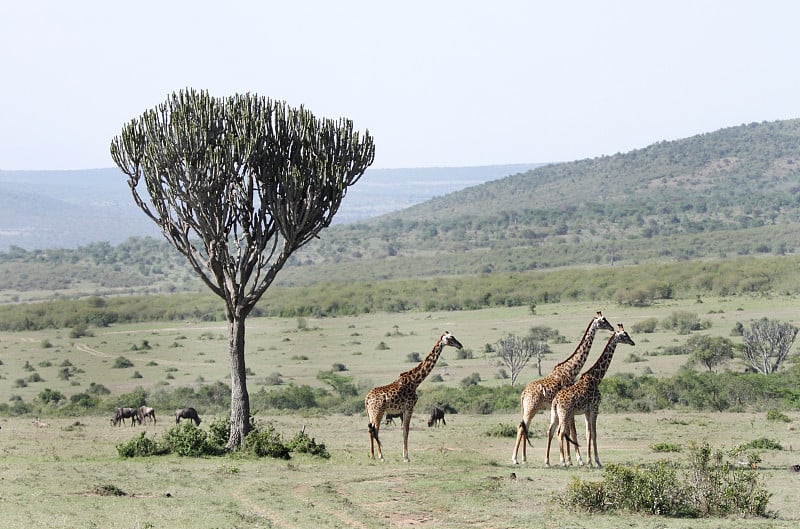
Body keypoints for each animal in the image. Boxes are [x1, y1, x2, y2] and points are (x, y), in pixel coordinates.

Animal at [364, 332, 462, 460]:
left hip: (370, 413)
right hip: (378, 411)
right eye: (451, 338)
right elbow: (406, 430)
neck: (415, 381)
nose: (460, 345)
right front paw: (406, 457)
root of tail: (367, 398)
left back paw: (372, 456)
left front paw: (405, 455)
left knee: (370, 429)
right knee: (375, 429)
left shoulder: (405, 409)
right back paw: (381, 456)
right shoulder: (409, 407)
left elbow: (404, 430)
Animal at [512, 312, 612, 464]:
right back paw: (515, 459)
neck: (571, 370)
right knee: (521, 427)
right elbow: (572, 432)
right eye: (603, 321)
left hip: (529, 408)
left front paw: (570, 459)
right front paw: (576, 460)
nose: (612, 328)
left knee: (525, 427)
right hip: (531, 408)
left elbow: (568, 431)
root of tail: (523, 393)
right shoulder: (570, 407)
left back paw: (523, 458)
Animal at [548, 322, 636, 466]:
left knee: (552, 431)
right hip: (565, 414)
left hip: (555, 414)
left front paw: (589, 460)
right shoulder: (595, 408)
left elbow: (588, 433)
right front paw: (596, 461)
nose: (632, 342)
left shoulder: (587, 411)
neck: (596, 378)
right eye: (624, 335)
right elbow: (594, 433)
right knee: (560, 433)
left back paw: (548, 461)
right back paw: (563, 462)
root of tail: (556, 401)